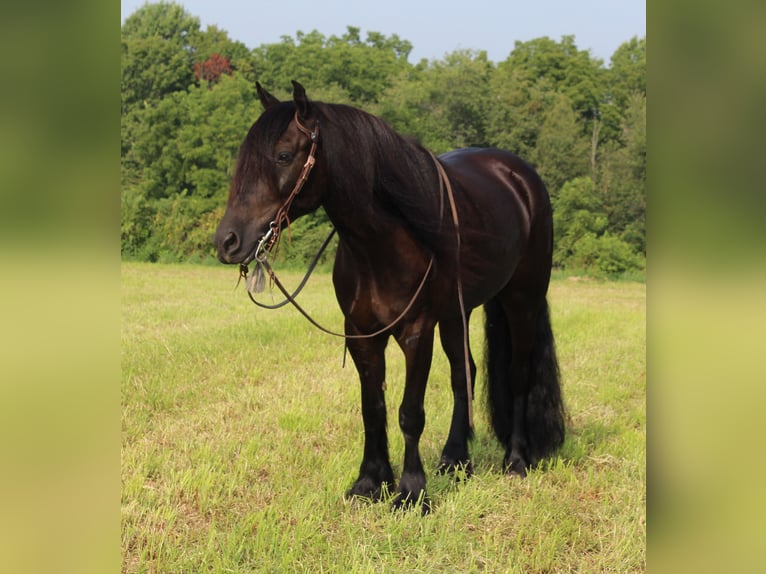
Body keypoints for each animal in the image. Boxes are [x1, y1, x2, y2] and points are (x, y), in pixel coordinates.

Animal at [214, 81, 564, 512]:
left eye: (283, 155)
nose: (227, 241)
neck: (384, 242)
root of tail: (521, 177)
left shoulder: (417, 333)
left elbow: (409, 412)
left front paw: (412, 491)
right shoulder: (361, 333)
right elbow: (372, 408)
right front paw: (370, 481)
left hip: (522, 300)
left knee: (517, 374)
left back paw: (515, 460)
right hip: (457, 314)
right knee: (464, 374)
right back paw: (455, 460)